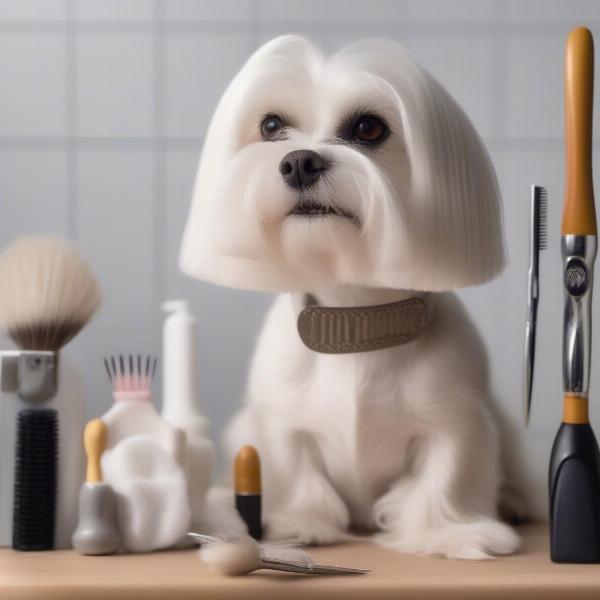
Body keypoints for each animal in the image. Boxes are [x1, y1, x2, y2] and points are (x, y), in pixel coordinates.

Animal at [179, 35, 524, 560]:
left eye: (368, 127)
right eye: (271, 126)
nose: (299, 160)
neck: (354, 316)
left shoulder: (455, 418)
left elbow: (446, 474)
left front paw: (450, 533)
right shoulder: (281, 422)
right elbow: (295, 470)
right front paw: (298, 523)